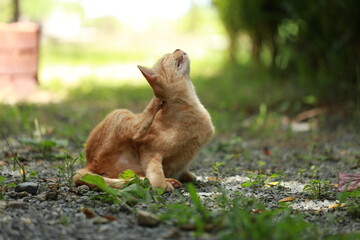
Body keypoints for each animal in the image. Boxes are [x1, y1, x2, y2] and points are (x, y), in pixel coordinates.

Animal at [73, 49, 214, 191]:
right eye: (165, 58)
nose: (177, 49)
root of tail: (88, 164)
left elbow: (181, 171)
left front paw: (190, 176)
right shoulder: (150, 152)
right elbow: (155, 178)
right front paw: (163, 185)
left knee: (132, 177)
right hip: (121, 112)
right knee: (137, 174)